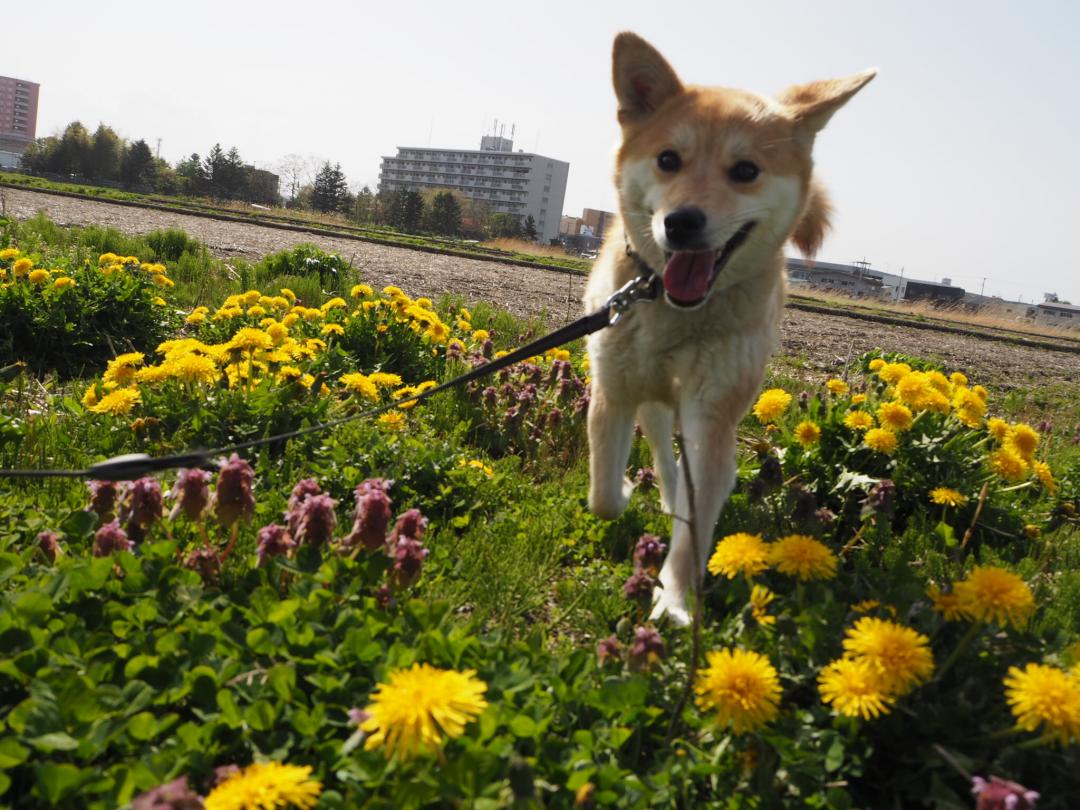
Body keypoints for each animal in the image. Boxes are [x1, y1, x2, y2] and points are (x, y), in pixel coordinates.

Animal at [583, 31, 876, 626]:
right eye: (668, 160)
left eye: (745, 171)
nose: (681, 222)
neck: (669, 306)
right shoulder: (614, 390)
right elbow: (602, 492)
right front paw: (621, 493)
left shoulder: (713, 411)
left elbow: (696, 529)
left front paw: (674, 602)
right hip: (650, 393)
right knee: (661, 442)